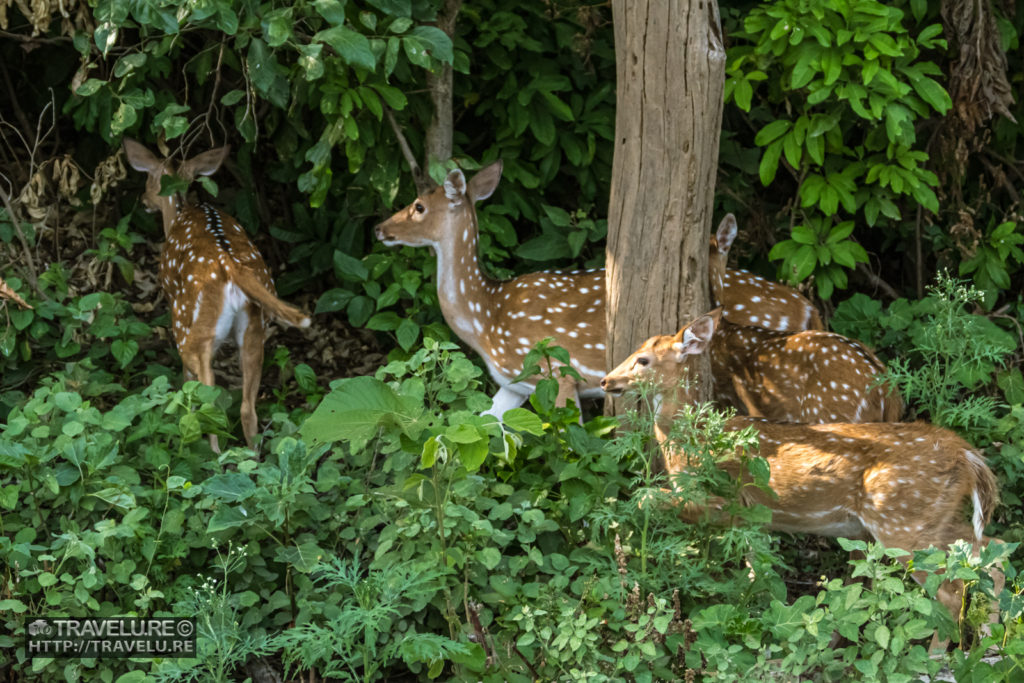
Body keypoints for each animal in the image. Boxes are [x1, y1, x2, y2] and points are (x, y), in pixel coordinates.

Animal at [123, 137, 309, 448]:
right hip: (254, 328)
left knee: (206, 399)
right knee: (247, 408)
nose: (144, 201)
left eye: (149, 177)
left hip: (191, 328)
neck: (181, 211)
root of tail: (232, 268)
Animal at [374, 161, 602, 417]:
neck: (486, 322)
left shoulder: (557, 371)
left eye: (419, 206)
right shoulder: (514, 383)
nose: (378, 228)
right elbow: (482, 420)